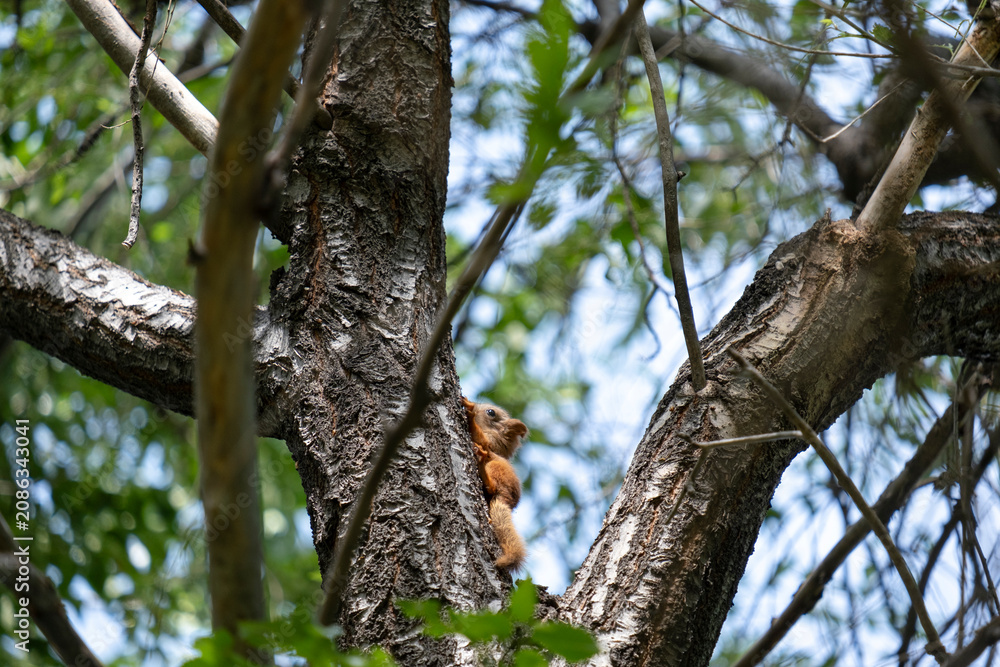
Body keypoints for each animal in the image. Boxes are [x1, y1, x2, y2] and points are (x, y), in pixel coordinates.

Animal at [461, 397, 528, 571]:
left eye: (491, 412)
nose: (475, 404)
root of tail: (507, 500)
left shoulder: (489, 443)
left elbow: (481, 439)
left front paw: (469, 408)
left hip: (495, 467)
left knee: (492, 486)